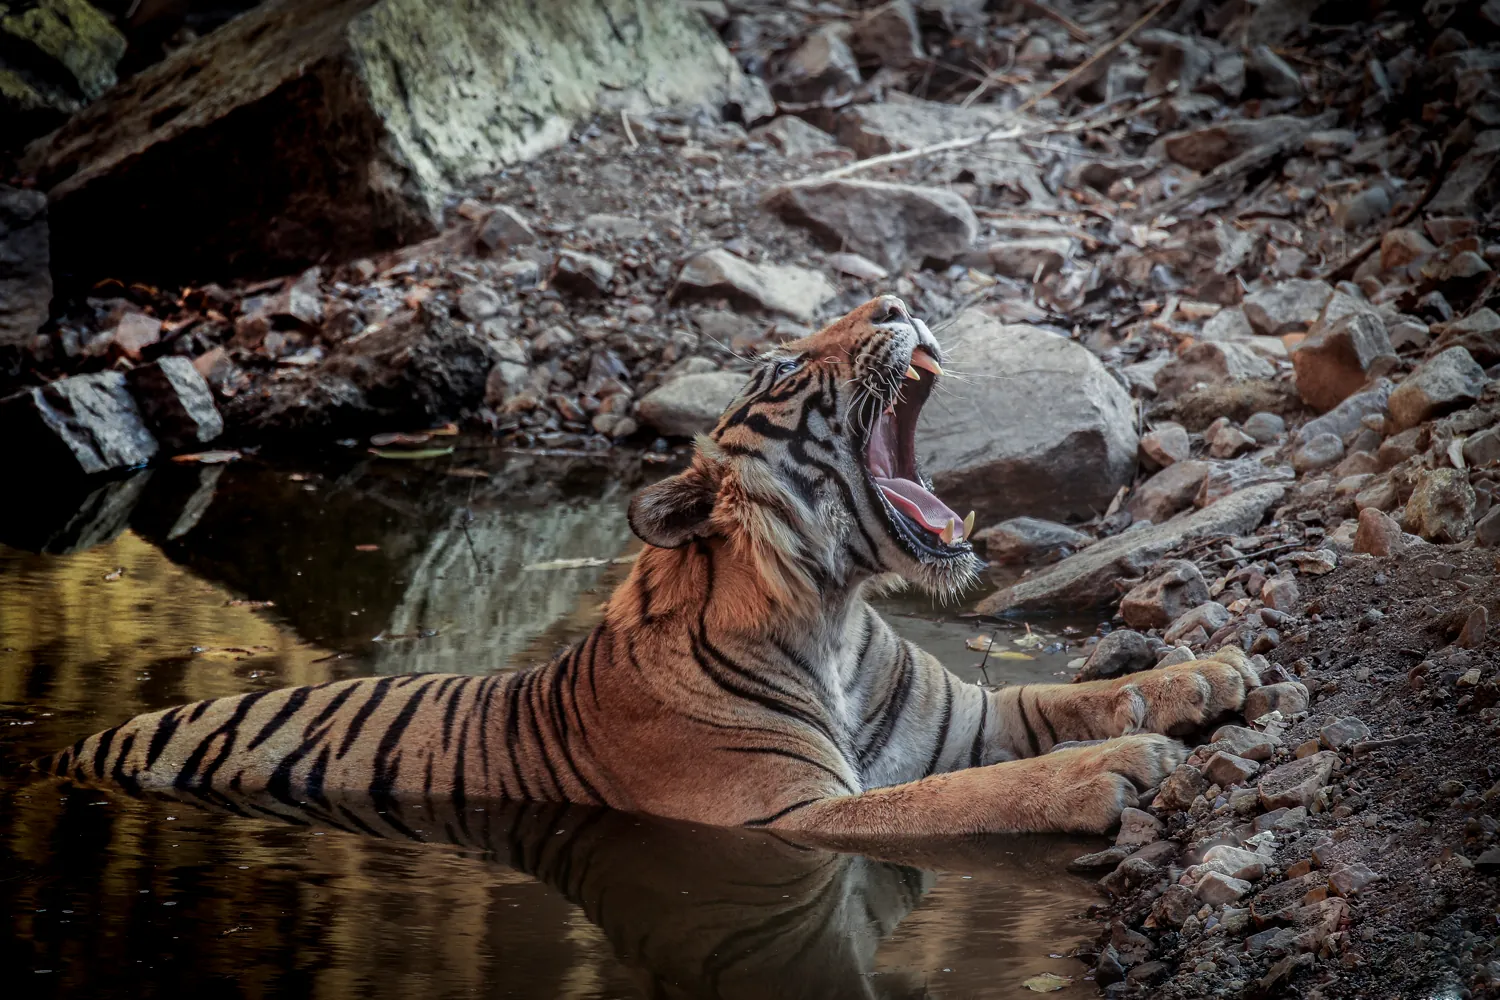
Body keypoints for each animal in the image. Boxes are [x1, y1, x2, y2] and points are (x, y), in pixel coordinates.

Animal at [41, 294, 1259, 841]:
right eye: (787, 364)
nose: (897, 297)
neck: (831, 615)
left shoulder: (970, 715)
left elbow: (1069, 695)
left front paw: (1215, 671)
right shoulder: (791, 820)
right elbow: (967, 794)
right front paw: (1123, 765)